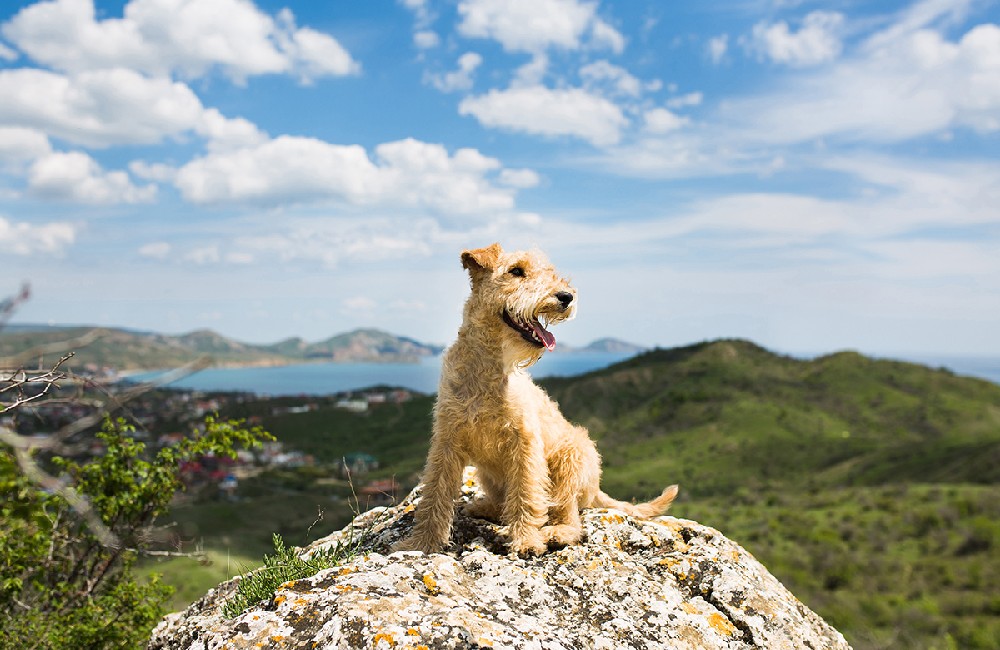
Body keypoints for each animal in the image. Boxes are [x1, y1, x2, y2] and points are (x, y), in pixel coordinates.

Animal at [394, 240, 676, 556]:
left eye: (549, 271)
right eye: (516, 271)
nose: (566, 296)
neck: (489, 366)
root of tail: (595, 488)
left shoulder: (524, 443)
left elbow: (526, 494)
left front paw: (527, 540)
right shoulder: (447, 441)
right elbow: (434, 496)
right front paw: (421, 544)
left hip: (571, 460)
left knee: (570, 517)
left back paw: (555, 533)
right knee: (505, 503)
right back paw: (483, 507)